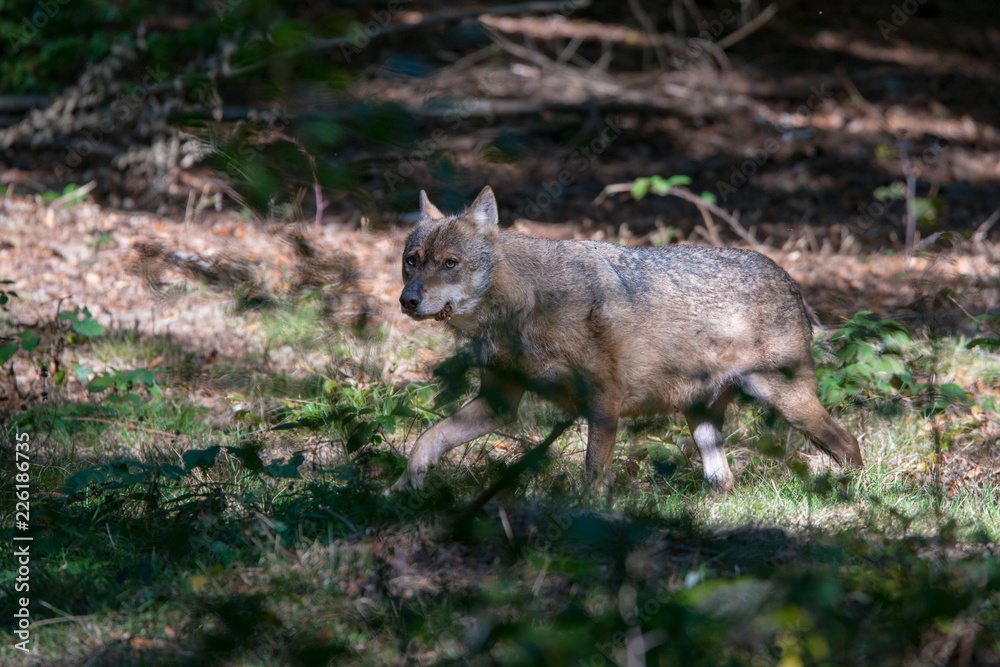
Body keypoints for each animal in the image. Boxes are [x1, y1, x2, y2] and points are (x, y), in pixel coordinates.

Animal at [394, 185, 864, 498]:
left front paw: (588, 515)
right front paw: (405, 484)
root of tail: (790, 279)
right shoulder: (499, 404)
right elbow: (427, 439)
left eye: (449, 263)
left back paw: (856, 496)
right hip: (702, 423)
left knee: (849, 444)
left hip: (787, 404)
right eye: (411, 261)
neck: (525, 306)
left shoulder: (605, 400)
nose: (407, 300)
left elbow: (593, 470)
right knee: (725, 481)